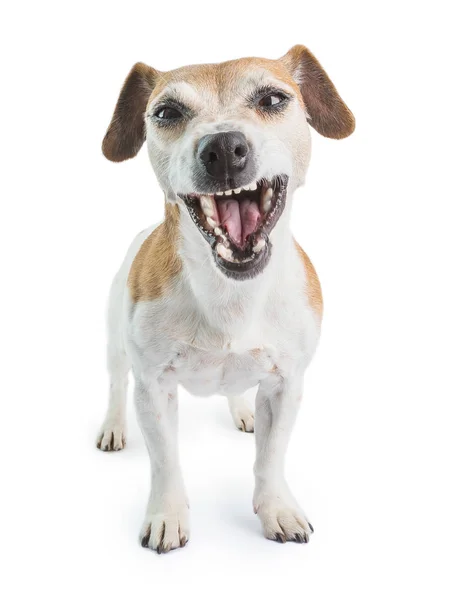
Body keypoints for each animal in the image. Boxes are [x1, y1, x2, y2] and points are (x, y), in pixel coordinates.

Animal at [98, 45, 354, 552]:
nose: (222, 149)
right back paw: (114, 426)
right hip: (116, 343)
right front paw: (167, 515)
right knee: (116, 384)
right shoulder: (153, 387)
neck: (231, 293)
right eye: (166, 112)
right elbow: (165, 461)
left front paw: (277, 508)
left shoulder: (285, 385)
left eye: (274, 98)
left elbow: (270, 458)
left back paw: (241, 410)